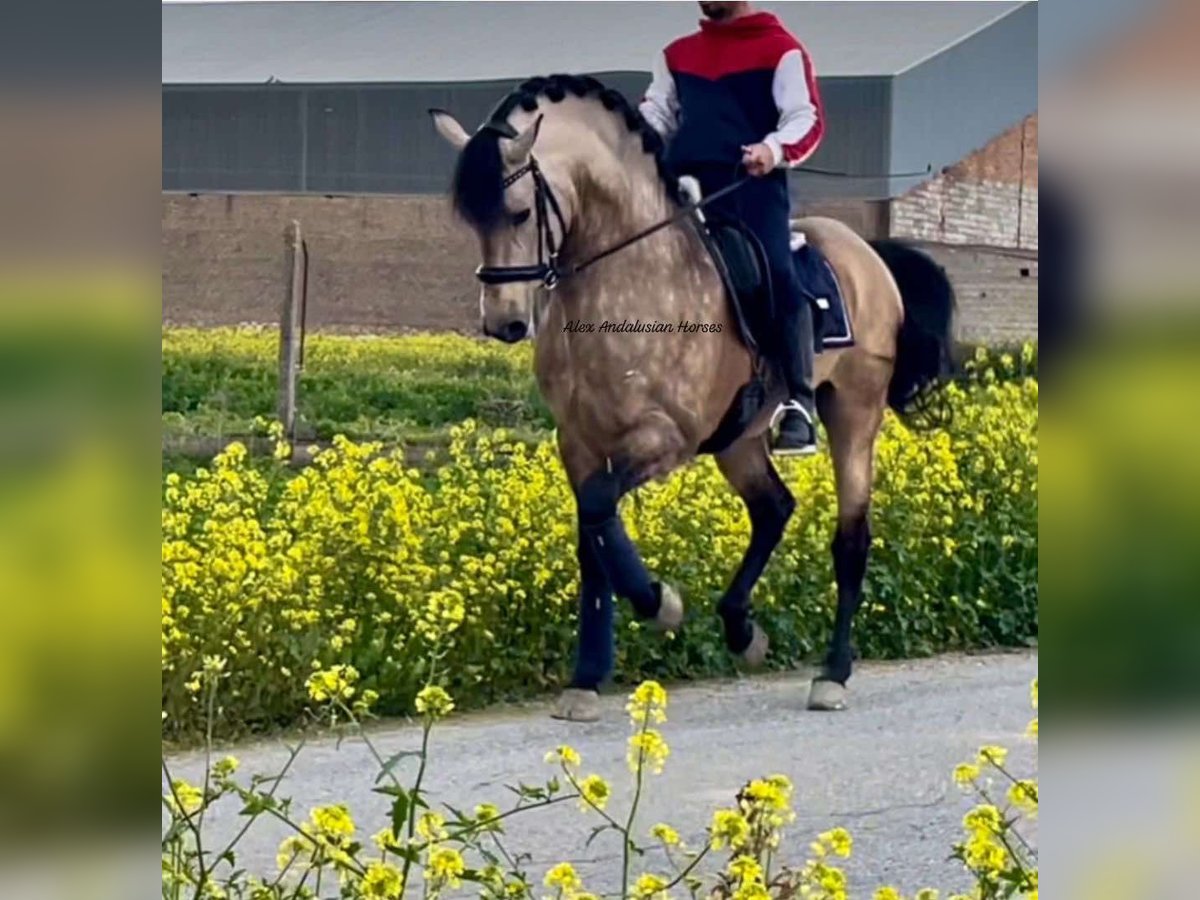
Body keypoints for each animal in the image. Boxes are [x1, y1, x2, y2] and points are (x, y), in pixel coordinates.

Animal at [427, 74, 950, 724]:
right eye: (471, 217)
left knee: (850, 539)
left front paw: (660, 604)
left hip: (853, 412)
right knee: (773, 509)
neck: (626, 279)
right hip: (739, 438)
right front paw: (587, 678)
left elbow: (599, 509)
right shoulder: (579, 441)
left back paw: (832, 675)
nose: (504, 324)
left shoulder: (663, 439)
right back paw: (741, 630)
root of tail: (868, 253)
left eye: (521, 210)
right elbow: (594, 538)